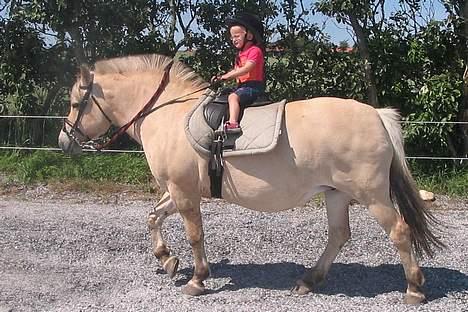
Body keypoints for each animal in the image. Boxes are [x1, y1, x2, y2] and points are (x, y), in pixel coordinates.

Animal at [57, 54, 442, 304]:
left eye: (76, 103)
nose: (63, 143)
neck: (169, 114)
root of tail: (376, 115)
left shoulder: (183, 191)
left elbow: (195, 235)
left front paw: (197, 279)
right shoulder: (177, 189)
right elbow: (153, 217)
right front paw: (166, 259)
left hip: (372, 195)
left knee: (399, 231)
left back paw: (414, 288)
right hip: (335, 193)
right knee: (338, 235)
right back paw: (309, 280)